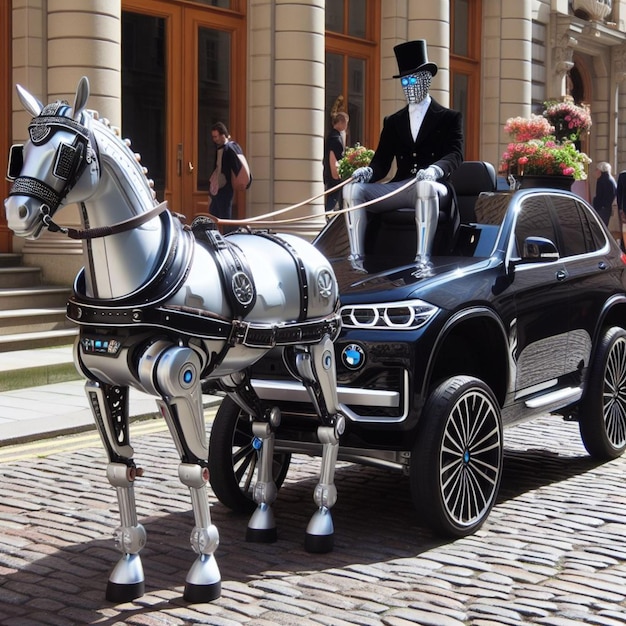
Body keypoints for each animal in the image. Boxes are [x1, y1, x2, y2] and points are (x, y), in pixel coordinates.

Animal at [3, 75, 342, 604]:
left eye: (65, 152)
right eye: (21, 151)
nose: (17, 212)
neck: (136, 281)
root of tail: (305, 245)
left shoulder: (179, 377)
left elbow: (192, 469)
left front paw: (204, 570)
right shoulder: (101, 383)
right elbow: (120, 469)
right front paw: (127, 569)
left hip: (312, 351)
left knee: (330, 427)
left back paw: (321, 522)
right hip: (239, 368)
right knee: (267, 423)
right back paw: (262, 516)